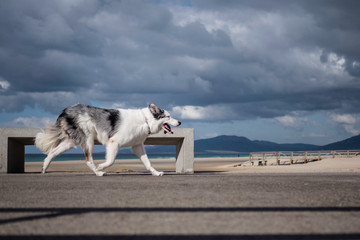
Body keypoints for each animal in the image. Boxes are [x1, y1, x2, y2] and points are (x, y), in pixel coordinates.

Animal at [35, 103, 181, 176]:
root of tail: (65, 111)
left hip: (70, 142)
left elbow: (148, 162)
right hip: (88, 139)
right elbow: (111, 161)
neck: (145, 120)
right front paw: (101, 166)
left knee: (52, 153)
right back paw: (98, 172)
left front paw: (155, 173)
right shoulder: (114, 142)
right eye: (168, 116)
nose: (179, 122)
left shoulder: (137, 146)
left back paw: (44, 168)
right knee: (88, 160)